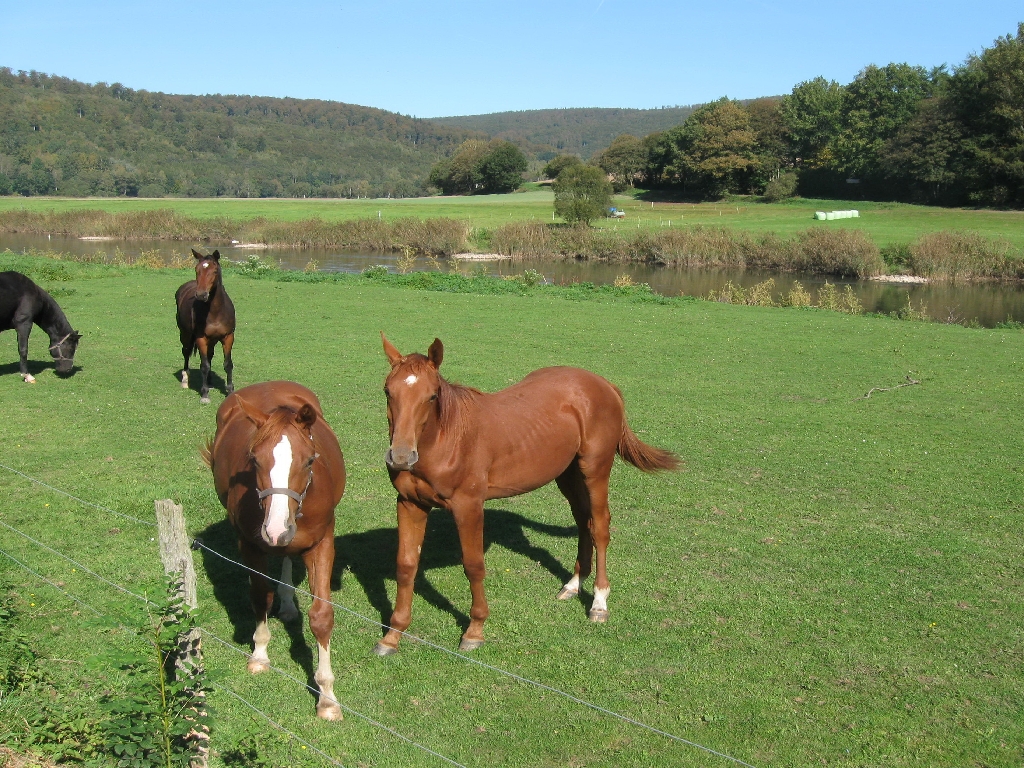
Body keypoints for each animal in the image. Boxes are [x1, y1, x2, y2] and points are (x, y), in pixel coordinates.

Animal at [179, 250, 238, 409]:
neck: (216, 311)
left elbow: (228, 364)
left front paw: (230, 391)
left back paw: (210, 382)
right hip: (185, 334)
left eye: (215, 271)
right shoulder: (201, 338)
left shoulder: (228, 337)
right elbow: (204, 365)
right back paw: (185, 380)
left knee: (210, 355)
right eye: (197, 270)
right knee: (186, 352)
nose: (201, 295)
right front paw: (204, 395)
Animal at [203, 382, 348, 720]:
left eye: (309, 460)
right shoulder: (250, 544)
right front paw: (259, 653)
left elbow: (322, 616)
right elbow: (259, 596)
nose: (276, 528)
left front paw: (327, 697)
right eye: (255, 460)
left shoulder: (322, 544)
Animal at [376, 335, 679, 655]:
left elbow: (473, 566)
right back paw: (573, 585)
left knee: (600, 526)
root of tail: (604, 384)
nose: (401, 457)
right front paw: (392, 635)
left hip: (595, 469)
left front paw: (475, 630)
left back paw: (598, 602)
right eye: (388, 391)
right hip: (567, 473)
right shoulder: (410, 504)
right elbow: (406, 566)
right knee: (583, 521)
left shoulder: (468, 507)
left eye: (432, 396)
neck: (448, 439)